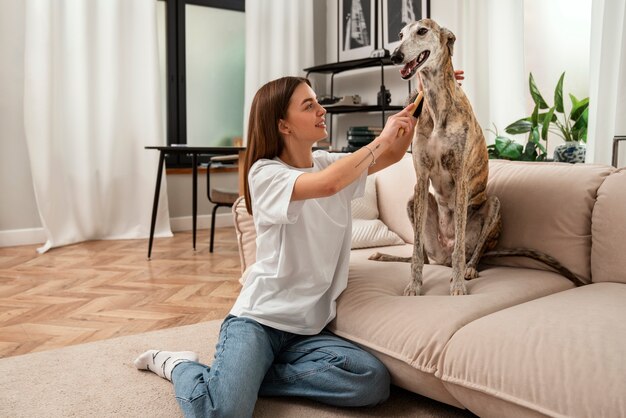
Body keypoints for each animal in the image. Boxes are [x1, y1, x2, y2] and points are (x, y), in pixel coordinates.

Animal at [368, 18, 584, 294]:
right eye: (400, 34)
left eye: (422, 31)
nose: (395, 56)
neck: (437, 104)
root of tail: (443, 256)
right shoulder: (421, 179)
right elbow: (416, 250)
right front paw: (414, 285)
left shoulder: (460, 179)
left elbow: (460, 245)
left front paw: (458, 284)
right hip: (413, 203)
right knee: (426, 256)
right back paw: (386, 256)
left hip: (493, 205)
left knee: (473, 251)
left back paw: (469, 269)